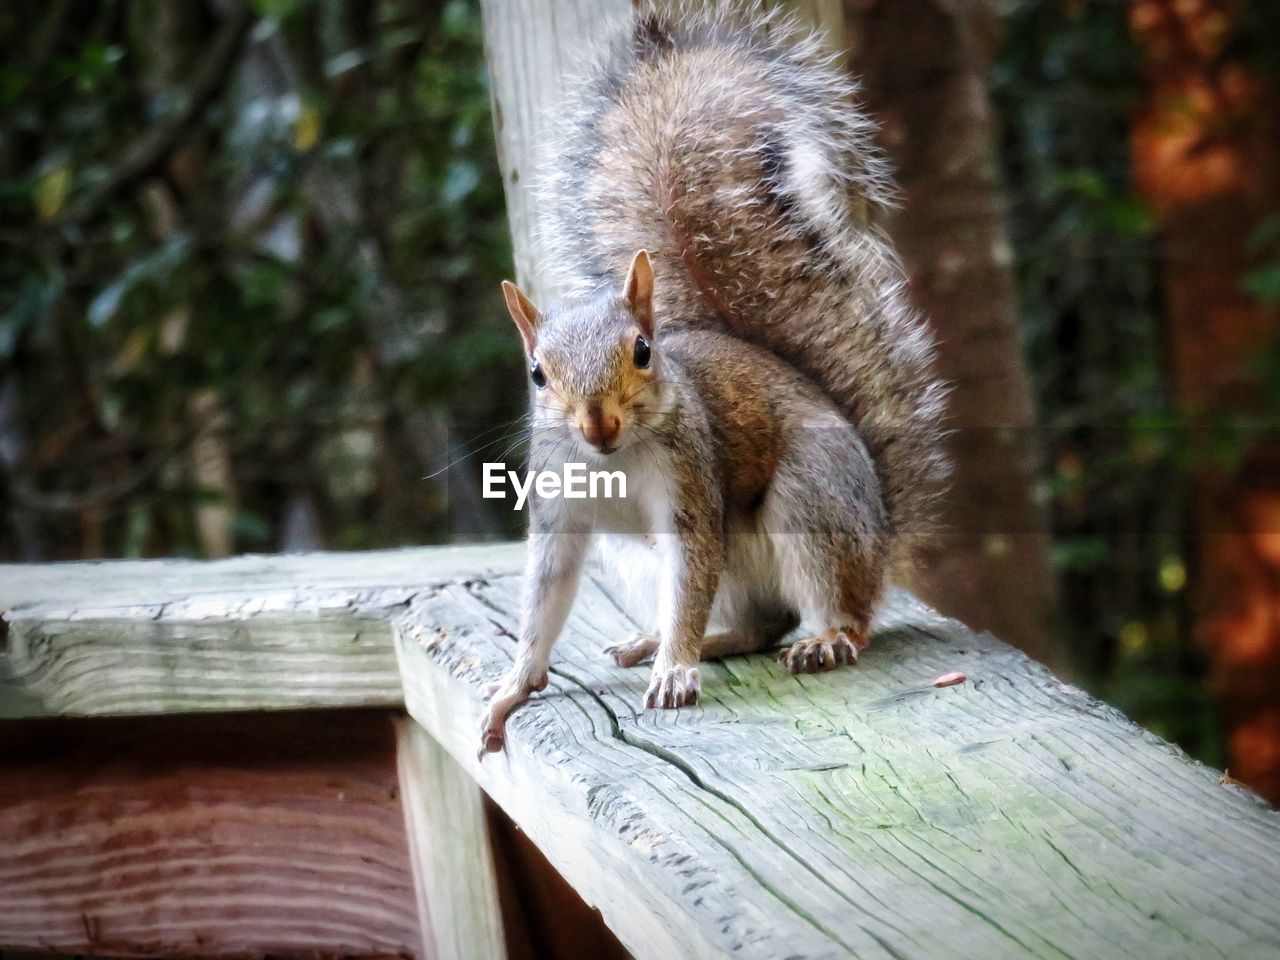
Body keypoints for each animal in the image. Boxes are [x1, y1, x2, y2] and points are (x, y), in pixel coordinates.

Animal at [476, 0, 947, 757]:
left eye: (643, 351)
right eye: (536, 374)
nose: (597, 423)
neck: (613, 461)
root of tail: (880, 534)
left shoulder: (690, 485)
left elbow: (693, 565)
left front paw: (674, 672)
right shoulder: (559, 510)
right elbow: (545, 595)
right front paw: (512, 690)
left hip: (812, 499)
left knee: (836, 611)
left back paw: (822, 639)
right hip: (639, 559)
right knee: (752, 624)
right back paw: (664, 642)